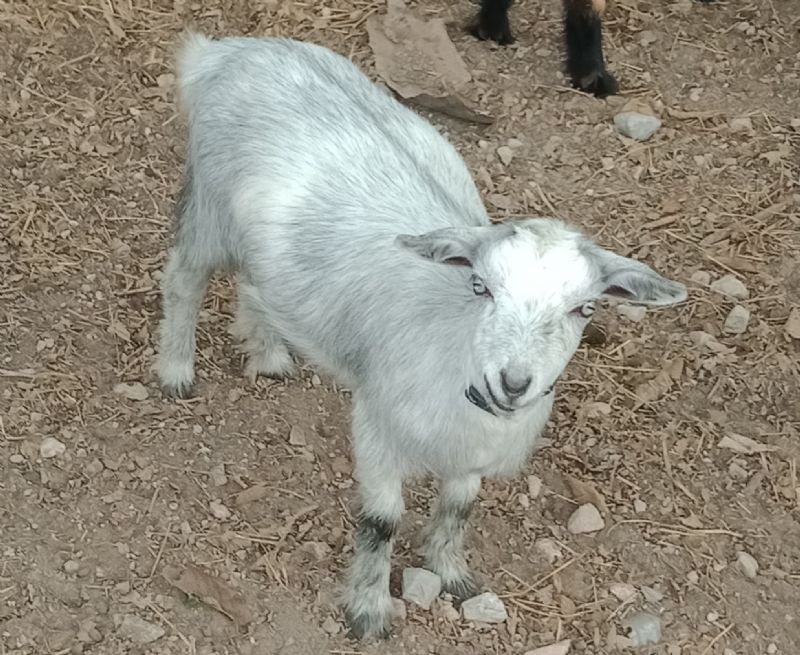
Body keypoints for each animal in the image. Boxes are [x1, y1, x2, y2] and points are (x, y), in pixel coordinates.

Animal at [158, 32, 688, 640]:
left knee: (255, 282)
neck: (456, 349)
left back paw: (267, 352)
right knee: (184, 279)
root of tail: (226, 50)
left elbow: (459, 510)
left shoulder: (470, 456)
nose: (513, 383)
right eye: (481, 286)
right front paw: (368, 609)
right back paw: (175, 370)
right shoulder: (377, 426)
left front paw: (451, 571)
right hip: (208, 207)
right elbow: (381, 521)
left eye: (585, 308)